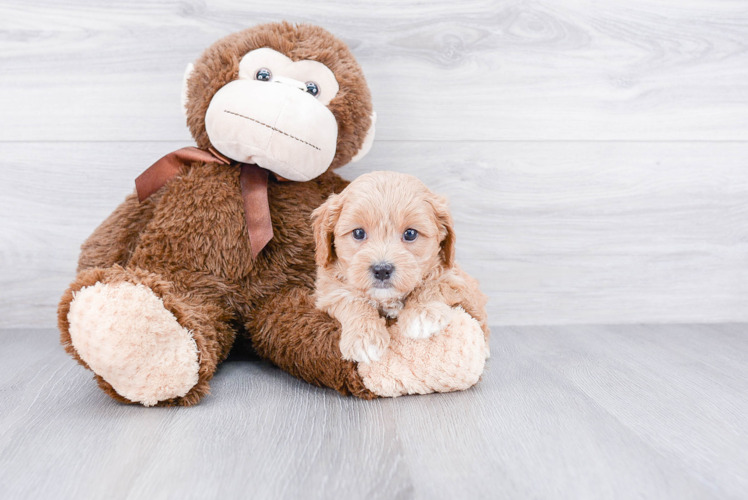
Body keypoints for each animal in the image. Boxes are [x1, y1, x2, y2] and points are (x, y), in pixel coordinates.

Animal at [312, 172, 490, 364]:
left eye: (410, 234)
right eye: (358, 233)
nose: (382, 270)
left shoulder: (452, 277)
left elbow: (432, 285)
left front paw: (421, 314)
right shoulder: (329, 290)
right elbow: (351, 300)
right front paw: (364, 336)